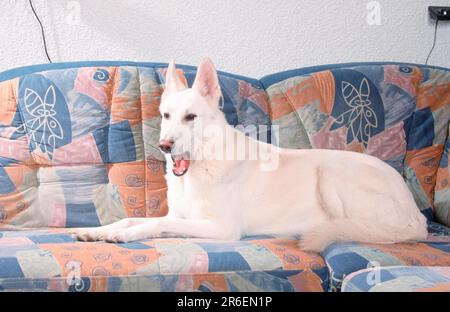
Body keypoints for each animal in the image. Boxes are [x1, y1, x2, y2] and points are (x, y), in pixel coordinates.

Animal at [75, 58, 428, 251]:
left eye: (191, 118)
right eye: (165, 116)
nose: (164, 146)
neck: (203, 166)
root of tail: (418, 218)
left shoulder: (222, 228)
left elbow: (157, 224)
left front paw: (123, 236)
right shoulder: (181, 215)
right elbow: (135, 217)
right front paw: (98, 231)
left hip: (332, 172)